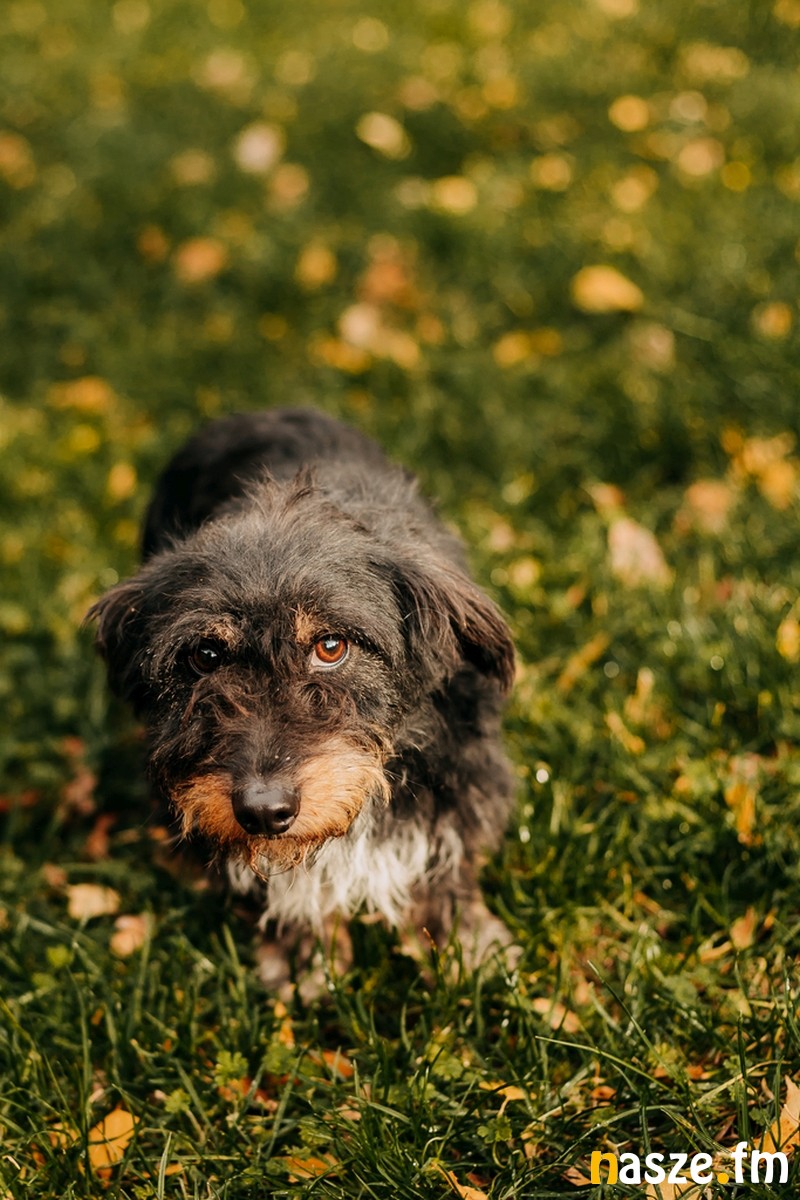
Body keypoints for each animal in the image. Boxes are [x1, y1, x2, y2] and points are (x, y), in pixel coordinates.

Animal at [90, 408, 516, 989]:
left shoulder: (461, 771)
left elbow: (448, 858)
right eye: (206, 655)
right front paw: (304, 952)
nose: (263, 811)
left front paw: (462, 943)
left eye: (331, 646)